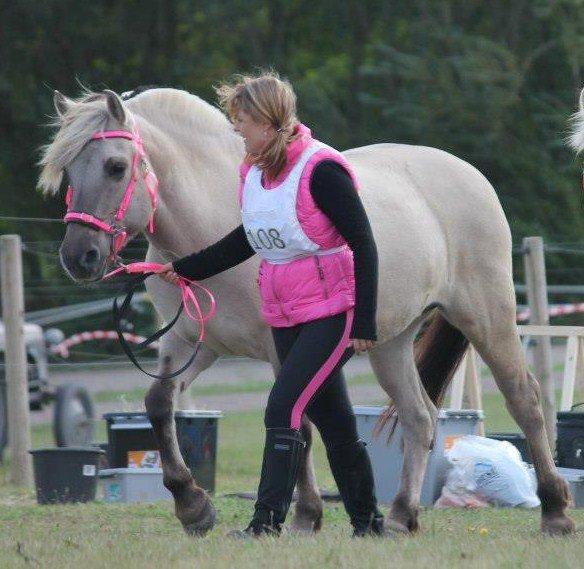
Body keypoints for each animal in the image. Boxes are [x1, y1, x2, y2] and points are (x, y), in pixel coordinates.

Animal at [37, 86, 576, 536]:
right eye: (68, 172)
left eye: (114, 166)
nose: (79, 256)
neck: (213, 215)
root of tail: (471, 175)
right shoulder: (195, 344)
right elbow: (159, 404)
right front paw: (193, 506)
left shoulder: (284, 349)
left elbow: (298, 425)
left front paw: (303, 516)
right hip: (391, 342)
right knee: (420, 417)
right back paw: (401, 516)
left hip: (487, 318)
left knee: (525, 402)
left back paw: (555, 512)